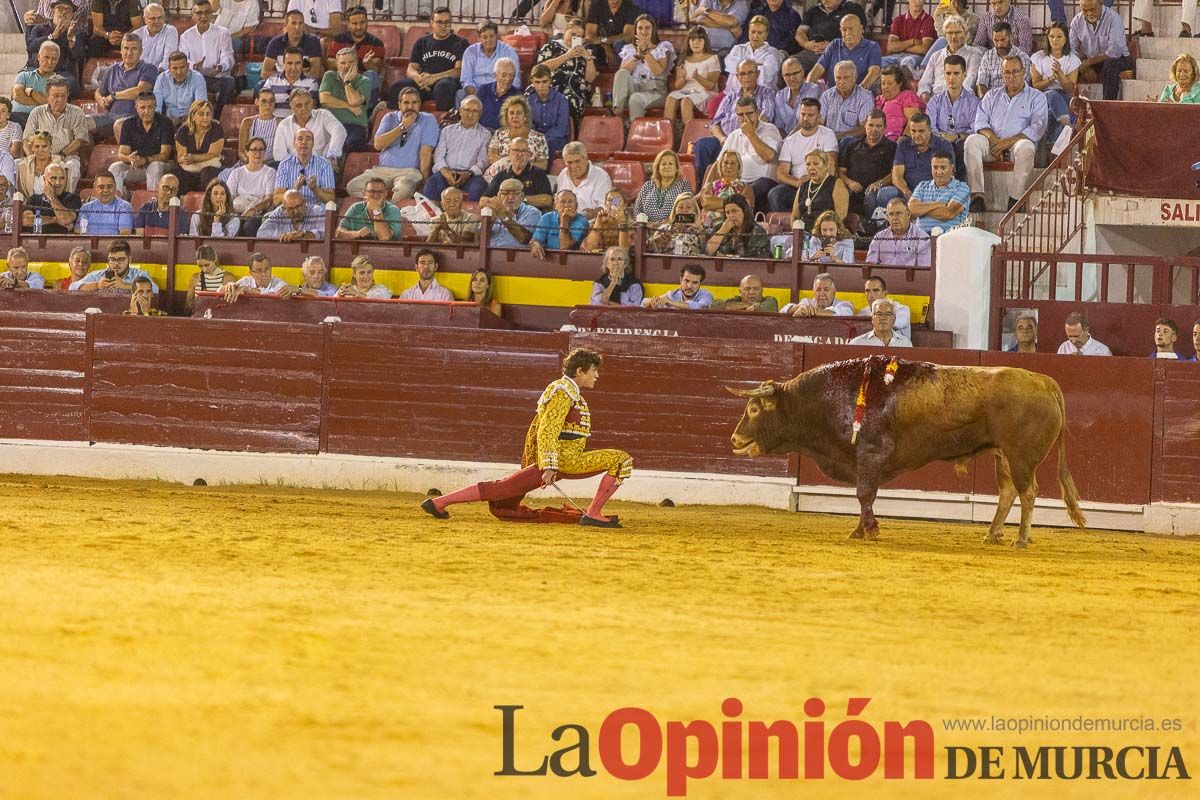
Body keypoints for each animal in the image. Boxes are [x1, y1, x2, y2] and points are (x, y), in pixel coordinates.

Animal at [729, 359, 1089, 546]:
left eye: (755, 408)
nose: (734, 439)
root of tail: (1043, 381)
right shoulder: (864, 460)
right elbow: (866, 495)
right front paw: (859, 530)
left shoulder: (871, 453)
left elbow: (863, 493)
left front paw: (868, 530)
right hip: (1002, 455)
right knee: (1008, 491)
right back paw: (992, 535)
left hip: (1021, 456)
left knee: (1028, 492)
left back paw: (1021, 539)